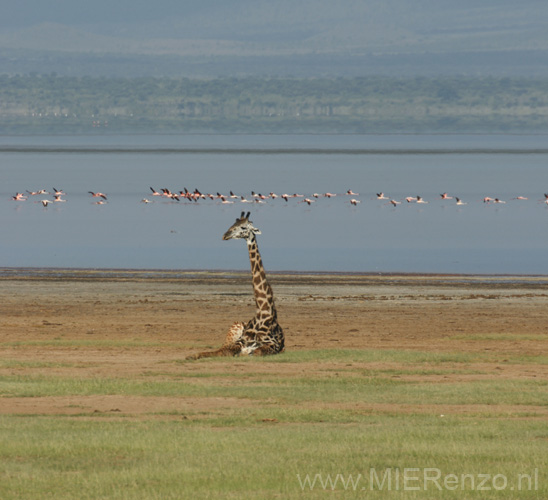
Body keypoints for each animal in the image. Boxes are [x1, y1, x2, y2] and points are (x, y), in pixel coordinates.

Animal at [186, 211, 284, 360]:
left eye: (243, 227)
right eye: (233, 224)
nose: (225, 235)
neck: (263, 313)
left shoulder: (274, 346)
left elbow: (256, 351)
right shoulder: (240, 341)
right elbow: (221, 351)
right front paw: (193, 355)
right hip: (233, 328)